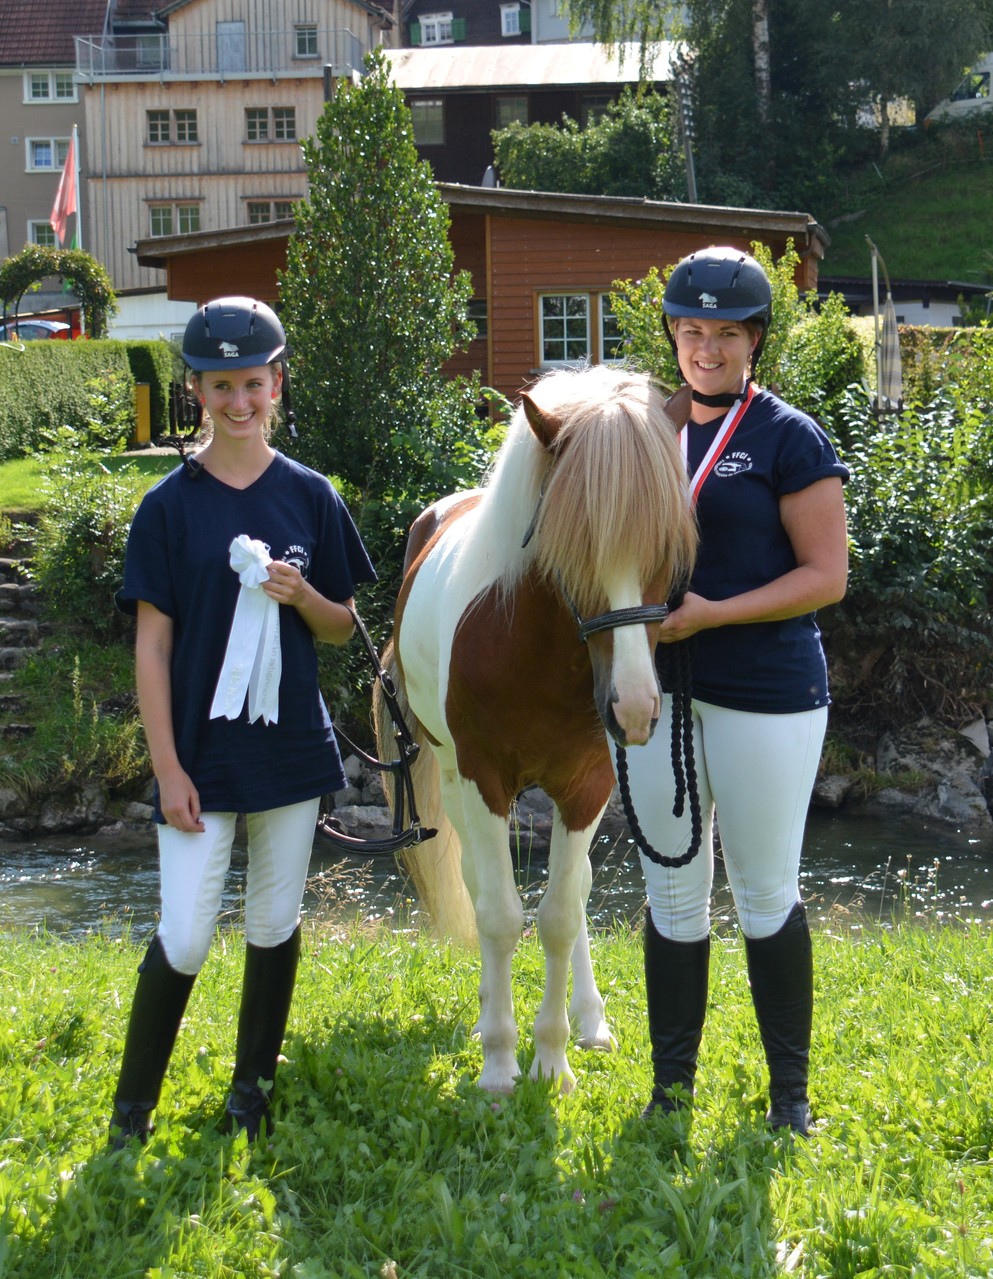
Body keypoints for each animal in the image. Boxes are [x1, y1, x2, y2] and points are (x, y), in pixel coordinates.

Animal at [373, 365, 696, 1094]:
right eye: (570, 544)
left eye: (667, 546)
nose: (634, 709)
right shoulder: (483, 780)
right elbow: (499, 915)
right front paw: (498, 1062)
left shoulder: (587, 786)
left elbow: (559, 915)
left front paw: (552, 1057)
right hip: (456, 783)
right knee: (481, 886)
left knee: (574, 894)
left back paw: (589, 1021)